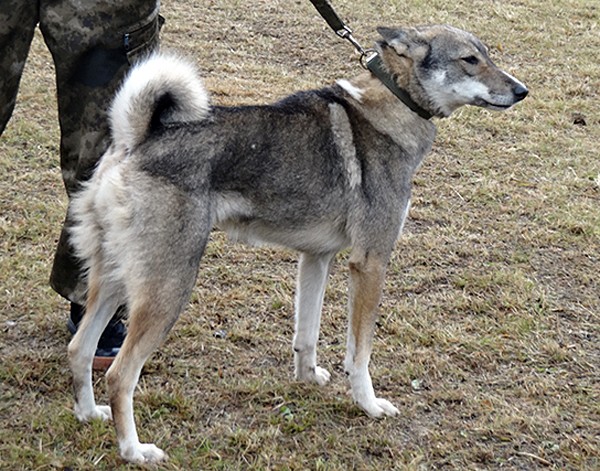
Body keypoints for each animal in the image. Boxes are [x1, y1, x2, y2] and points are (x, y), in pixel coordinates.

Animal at [67, 24, 527, 463]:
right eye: (469, 60)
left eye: (488, 55)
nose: (521, 90)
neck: (394, 102)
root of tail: (135, 140)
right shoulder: (370, 263)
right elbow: (359, 354)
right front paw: (369, 405)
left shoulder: (317, 258)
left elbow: (307, 333)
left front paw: (308, 378)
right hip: (168, 287)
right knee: (119, 375)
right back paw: (134, 450)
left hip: (115, 280)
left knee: (80, 348)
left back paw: (88, 414)